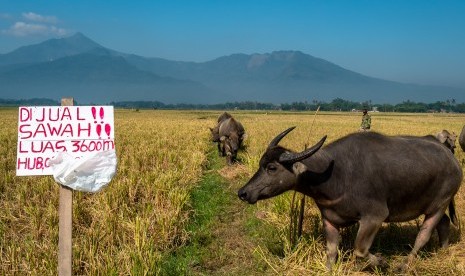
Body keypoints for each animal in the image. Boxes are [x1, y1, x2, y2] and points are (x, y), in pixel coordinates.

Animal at [239, 128, 460, 270]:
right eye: (260, 164)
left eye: (272, 168)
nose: (243, 192)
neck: (336, 175)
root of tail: (451, 157)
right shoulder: (329, 218)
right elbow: (331, 251)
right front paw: (328, 269)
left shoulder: (374, 217)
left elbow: (360, 250)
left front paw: (382, 262)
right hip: (434, 205)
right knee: (444, 223)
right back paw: (444, 250)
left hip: (440, 203)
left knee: (423, 235)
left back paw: (405, 264)